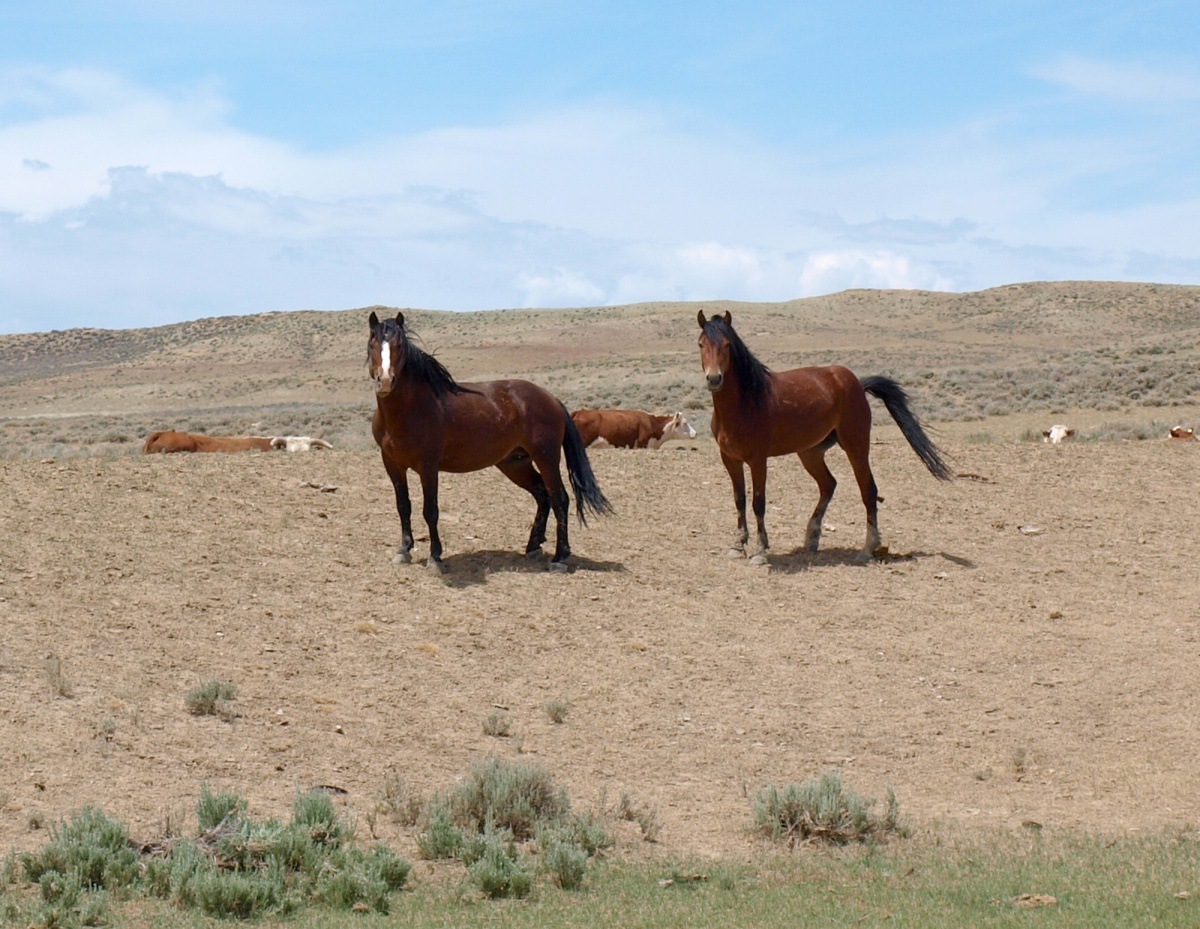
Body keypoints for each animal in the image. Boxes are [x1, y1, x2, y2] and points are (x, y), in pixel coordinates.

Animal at [367, 312, 614, 573]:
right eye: (372, 345)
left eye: (399, 346)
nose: (385, 381)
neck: (409, 410)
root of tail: (552, 399)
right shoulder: (392, 464)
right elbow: (403, 505)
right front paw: (403, 550)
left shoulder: (428, 466)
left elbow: (430, 510)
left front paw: (435, 557)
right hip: (515, 464)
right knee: (542, 495)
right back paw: (533, 547)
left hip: (546, 458)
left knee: (560, 498)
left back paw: (560, 557)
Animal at [700, 309, 950, 564]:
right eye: (701, 344)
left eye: (727, 345)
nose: (714, 379)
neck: (745, 402)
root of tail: (858, 384)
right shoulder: (730, 459)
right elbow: (739, 499)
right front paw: (737, 545)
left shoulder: (758, 460)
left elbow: (758, 503)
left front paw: (760, 551)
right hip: (810, 453)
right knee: (828, 484)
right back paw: (812, 538)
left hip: (856, 447)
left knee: (868, 490)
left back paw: (867, 548)